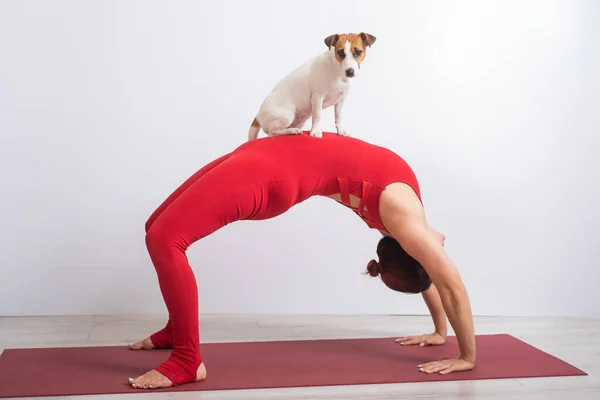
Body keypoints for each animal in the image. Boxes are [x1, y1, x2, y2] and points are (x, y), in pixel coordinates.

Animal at [247, 33, 376, 142]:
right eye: (341, 53)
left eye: (358, 52)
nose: (350, 72)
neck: (337, 71)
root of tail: (258, 115)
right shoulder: (317, 97)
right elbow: (318, 116)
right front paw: (316, 131)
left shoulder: (341, 100)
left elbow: (338, 116)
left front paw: (341, 131)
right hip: (286, 115)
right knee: (272, 133)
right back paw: (292, 131)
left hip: (299, 120)